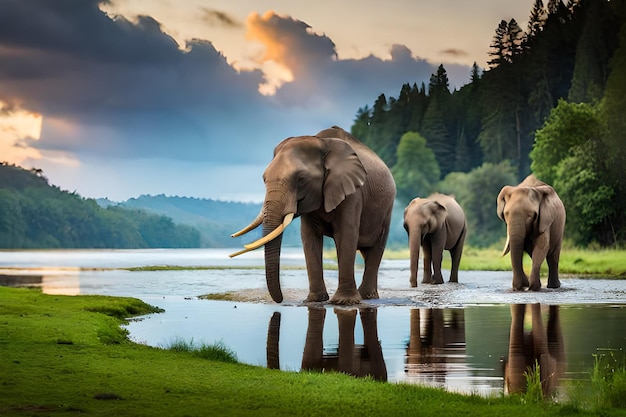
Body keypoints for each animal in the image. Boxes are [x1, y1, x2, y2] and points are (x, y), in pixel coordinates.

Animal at [229, 125, 394, 304]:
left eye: (301, 179)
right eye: (264, 179)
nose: (281, 300)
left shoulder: (352, 192)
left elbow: (346, 234)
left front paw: (343, 302)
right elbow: (309, 237)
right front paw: (315, 300)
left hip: (387, 211)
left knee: (376, 247)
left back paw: (366, 296)